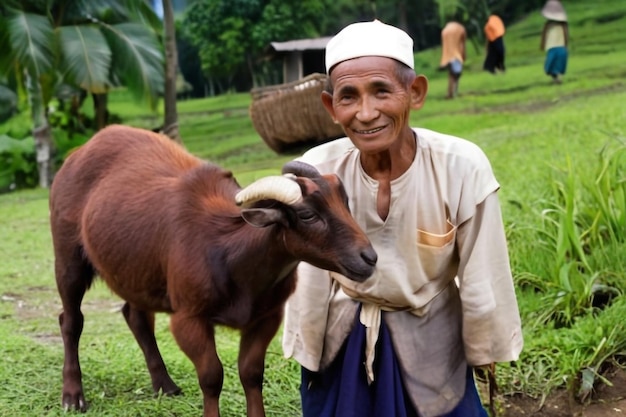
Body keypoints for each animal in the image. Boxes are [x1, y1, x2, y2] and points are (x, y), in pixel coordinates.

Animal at [48, 125, 376, 416]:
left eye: (345, 204)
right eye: (307, 215)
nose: (368, 258)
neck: (231, 257)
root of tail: (78, 154)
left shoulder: (267, 317)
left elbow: (251, 373)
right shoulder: (188, 319)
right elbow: (211, 377)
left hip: (135, 270)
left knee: (136, 316)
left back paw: (164, 384)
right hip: (68, 258)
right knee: (71, 320)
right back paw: (73, 397)